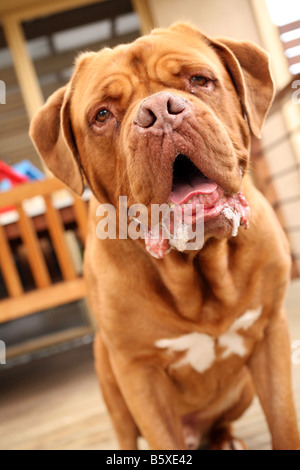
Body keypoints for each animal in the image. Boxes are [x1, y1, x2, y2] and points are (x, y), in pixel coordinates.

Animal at [29, 23, 298, 450]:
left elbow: (284, 422)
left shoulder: (270, 331)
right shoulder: (139, 375)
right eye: (102, 114)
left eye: (199, 80)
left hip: (242, 390)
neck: (198, 265)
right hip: (109, 377)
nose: (159, 111)